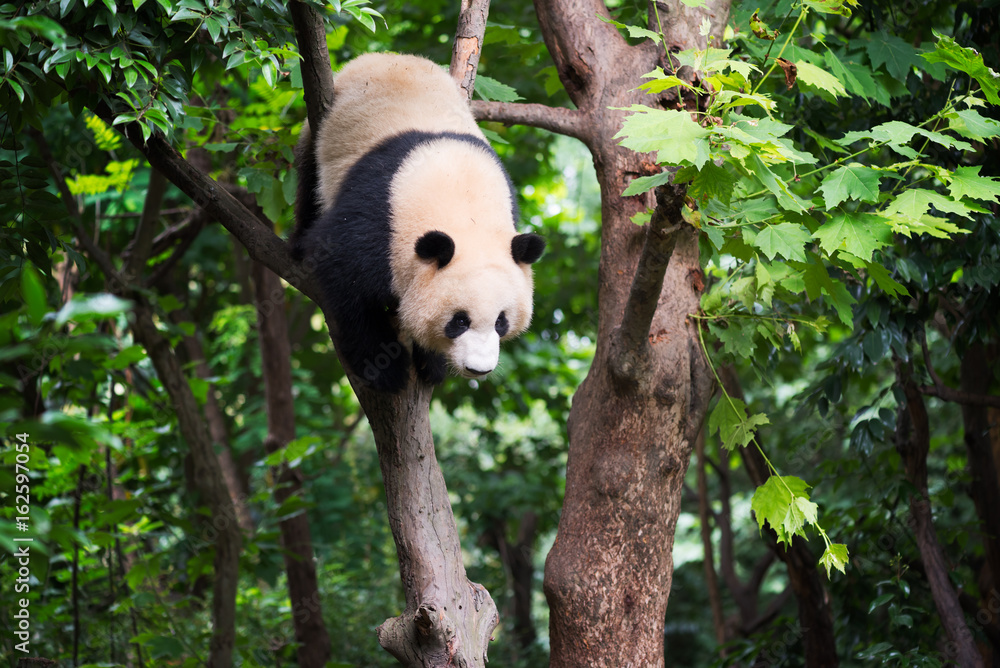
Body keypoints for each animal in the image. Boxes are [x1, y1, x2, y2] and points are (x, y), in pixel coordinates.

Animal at [292, 53, 546, 393]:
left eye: (501, 321)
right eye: (459, 321)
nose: (478, 369)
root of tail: (386, 57)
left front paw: (431, 363)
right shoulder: (379, 216)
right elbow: (345, 282)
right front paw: (384, 370)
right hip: (320, 130)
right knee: (308, 181)